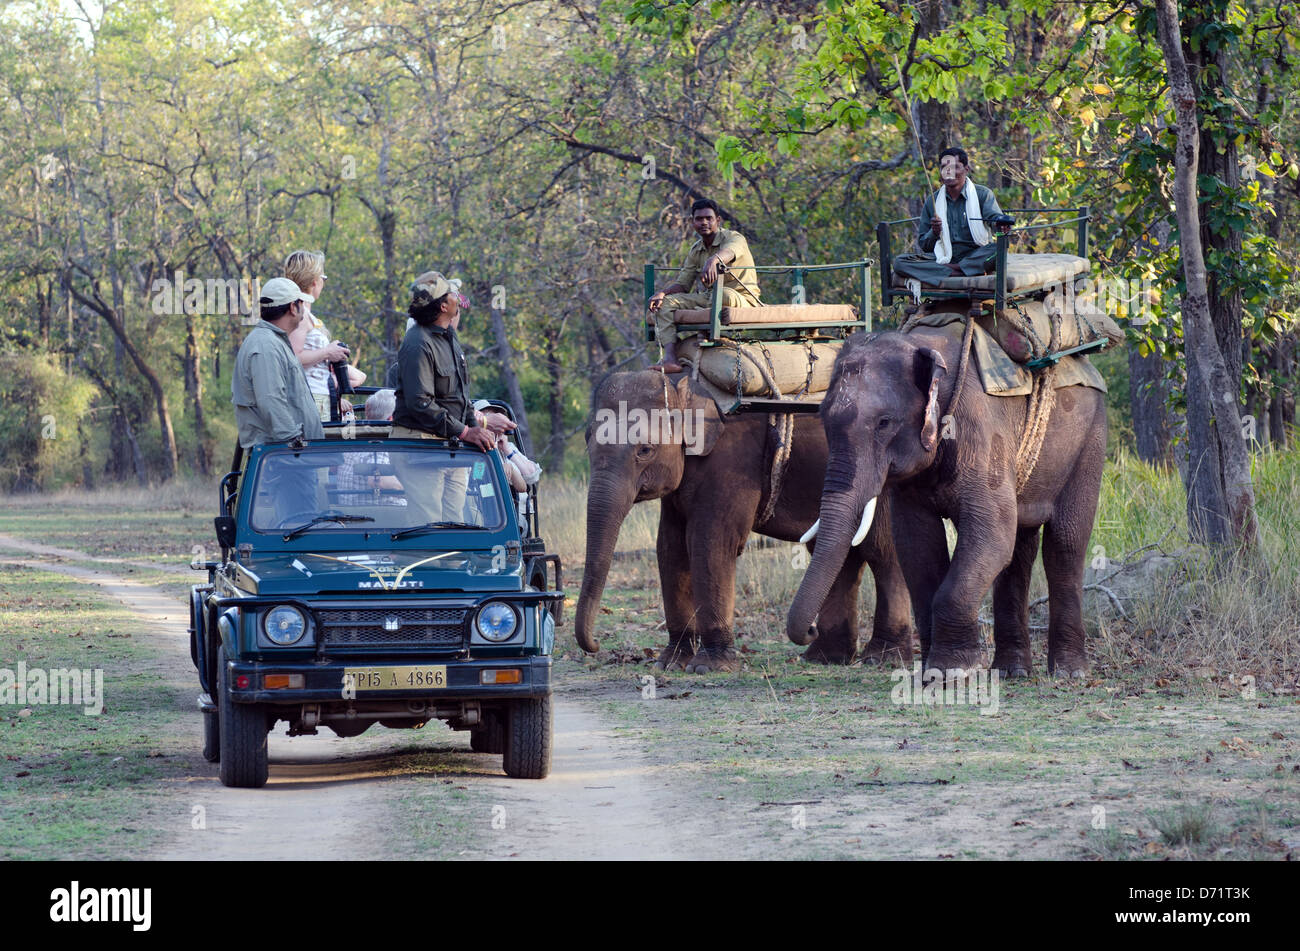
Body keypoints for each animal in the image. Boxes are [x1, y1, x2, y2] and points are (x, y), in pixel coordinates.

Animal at [574, 368, 909, 670]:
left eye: (645, 450)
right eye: (587, 442)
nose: (596, 644)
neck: (685, 381)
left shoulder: (732, 461)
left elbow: (710, 543)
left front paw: (709, 666)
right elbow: (670, 547)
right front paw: (670, 663)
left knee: (882, 551)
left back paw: (881, 658)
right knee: (843, 554)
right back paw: (825, 658)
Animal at [785, 329, 1102, 680]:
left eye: (884, 423)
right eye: (822, 420)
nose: (811, 629)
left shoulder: (982, 433)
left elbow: (991, 536)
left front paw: (955, 671)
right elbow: (916, 544)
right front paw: (934, 672)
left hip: (1089, 441)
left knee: (1065, 544)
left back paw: (1070, 673)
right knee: (1019, 550)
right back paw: (1011, 672)